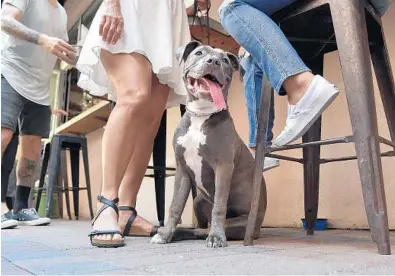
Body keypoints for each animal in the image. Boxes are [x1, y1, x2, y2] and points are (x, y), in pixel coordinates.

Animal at [152, 41, 270, 248]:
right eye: (199, 53)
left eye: (225, 60)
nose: (214, 61)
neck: (201, 114)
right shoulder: (182, 170)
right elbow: (175, 206)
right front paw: (165, 234)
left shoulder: (223, 166)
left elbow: (219, 206)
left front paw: (216, 237)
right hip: (198, 200)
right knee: (198, 226)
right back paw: (176, 233)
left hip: (241, 222)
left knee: (203, 230)